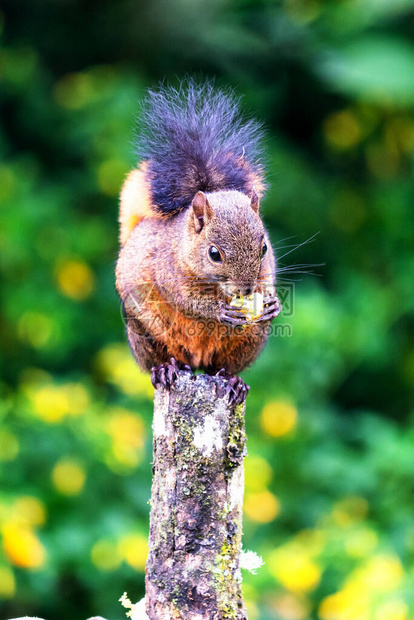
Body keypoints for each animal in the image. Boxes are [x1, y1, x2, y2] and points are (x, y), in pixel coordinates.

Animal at [115, 78, 282, 406]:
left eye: (264, 248)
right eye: (214, 254)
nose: (247, 290)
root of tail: (196, 363)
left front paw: (273, 303)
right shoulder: (167, 268)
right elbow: (184, 298)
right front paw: (217, 310)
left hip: (247, 341)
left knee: (222, 367)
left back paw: (232, 381)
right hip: (144, 332)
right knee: (162, 360)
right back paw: (166, 369)